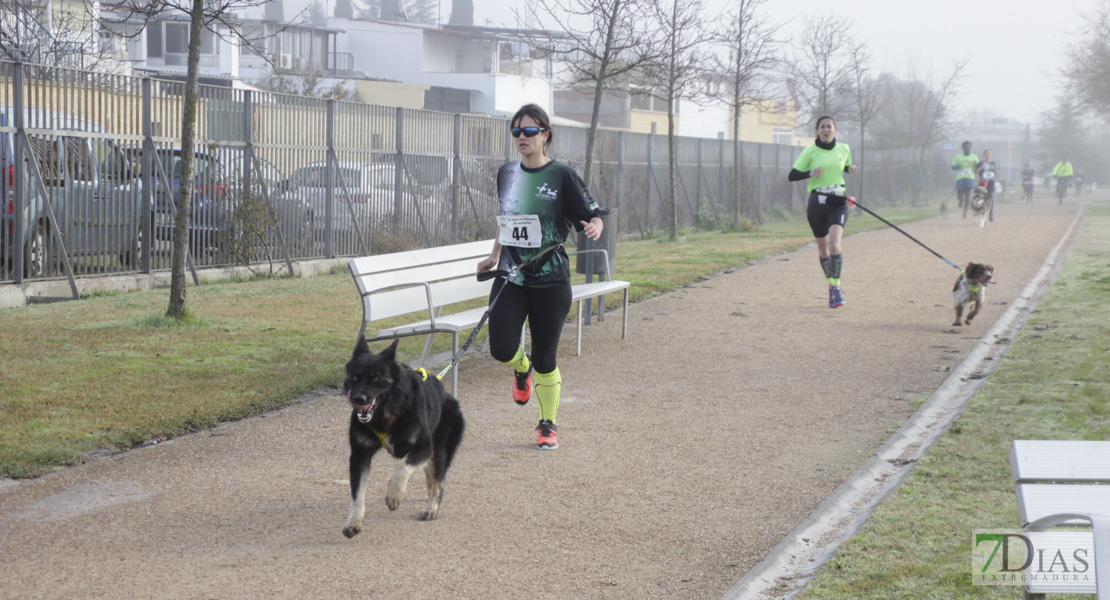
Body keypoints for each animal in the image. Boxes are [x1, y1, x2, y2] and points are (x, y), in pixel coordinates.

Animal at [337, 334, 459, 536]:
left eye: (375, 379)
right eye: (355, 377)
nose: (358, 399)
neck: (386, 412)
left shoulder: (424, 448)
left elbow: (401, 467)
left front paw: (394, 494)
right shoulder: (359, 456)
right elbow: (357, 494)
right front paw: (354, 522)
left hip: (438, 453)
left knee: (437, 485)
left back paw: (431, 508)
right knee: (431, 480)